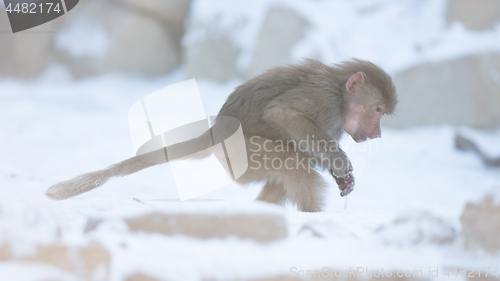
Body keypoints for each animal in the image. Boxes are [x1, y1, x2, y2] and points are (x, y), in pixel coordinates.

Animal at [47, 59, 398, 212]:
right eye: (377, 110)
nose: (378, 133)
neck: (340, 93)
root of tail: (214, 133)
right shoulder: (323, 100)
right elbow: (282, 114)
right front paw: (341, 165)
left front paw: (342, 174)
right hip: (242, 154)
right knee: (292, 161)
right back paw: (311, 218)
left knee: (287, 171)